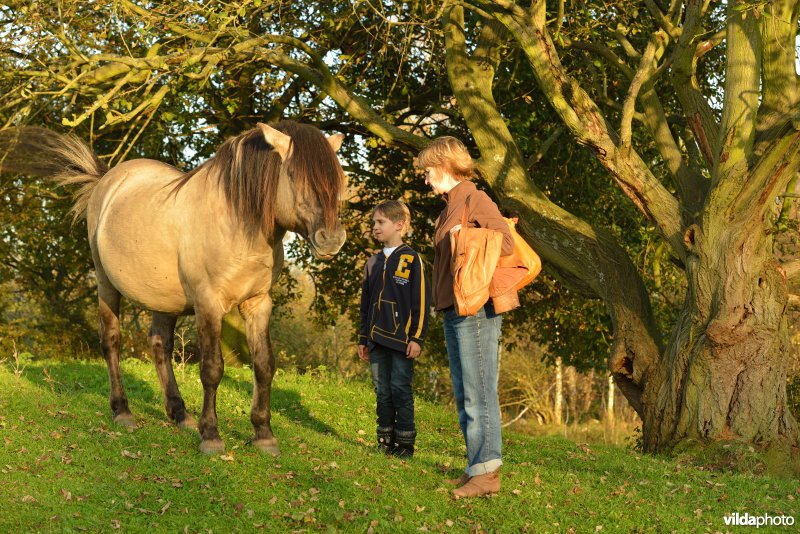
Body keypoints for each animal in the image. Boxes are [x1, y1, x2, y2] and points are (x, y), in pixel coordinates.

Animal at [0, 122, 346, 456]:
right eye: (293, 174)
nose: (331, 239)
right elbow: (212, 369)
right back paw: (123, 411)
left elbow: (264, 366)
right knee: (111, 342)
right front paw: (211, 436)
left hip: (163, 299)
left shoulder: (258, 303)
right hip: (105, 284)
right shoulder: (208, 305)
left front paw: (264, 435)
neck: (235, 223)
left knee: (159, 345)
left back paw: (180, 414)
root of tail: (106, 180)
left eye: (337, 178)